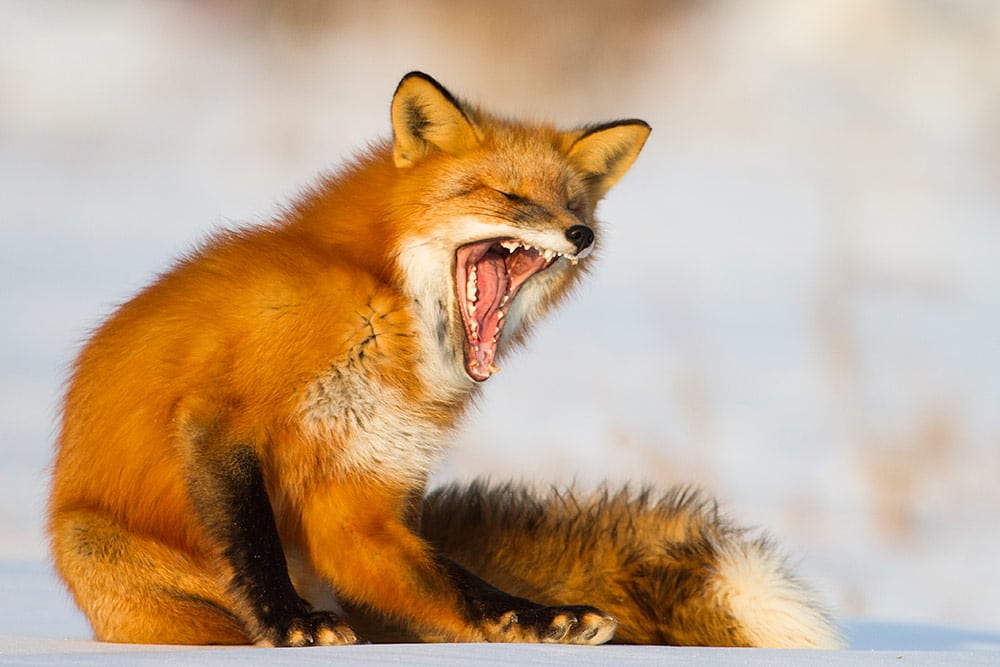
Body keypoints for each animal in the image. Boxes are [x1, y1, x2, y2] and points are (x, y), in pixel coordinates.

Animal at [48, 71, 842, 649]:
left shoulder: (359, 492)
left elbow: (457, 582)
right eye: (510, 194)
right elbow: (253, 541)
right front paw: (288, 622)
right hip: (101, 546)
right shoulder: (221, 418)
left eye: (575, 203)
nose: (581, 235)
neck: (378, 305)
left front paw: (536, 619)